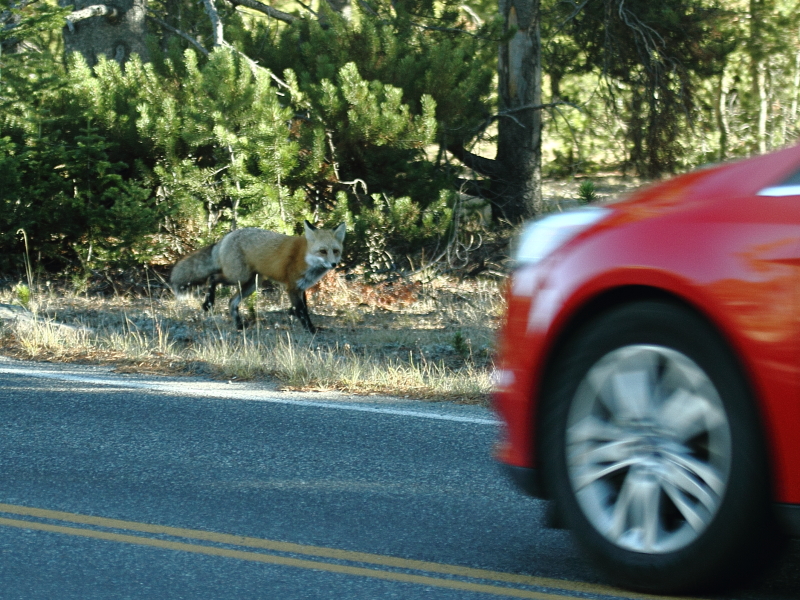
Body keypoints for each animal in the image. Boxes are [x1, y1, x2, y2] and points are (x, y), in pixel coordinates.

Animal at [170, 221, 346, 332]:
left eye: (336, 251)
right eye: (323, 251)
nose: (333, 264)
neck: (305, 257)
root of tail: (226, 237)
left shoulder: (301, 288)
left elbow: (305, 310)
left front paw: (308, 326)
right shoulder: (292, 288)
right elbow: (301, 311)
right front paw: (310, 329)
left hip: (251, 284)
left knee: (231, 301)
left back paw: (239, 325)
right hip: (238, 277)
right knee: (212, 278)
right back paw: (208, 303)